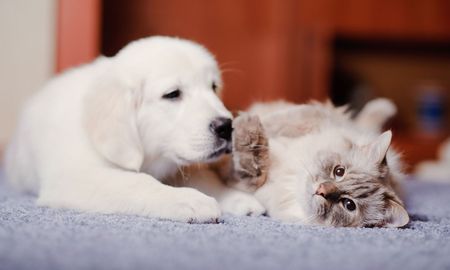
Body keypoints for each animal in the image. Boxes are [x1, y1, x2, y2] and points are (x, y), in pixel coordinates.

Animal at [4, 35, 264, 221]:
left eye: (213, 87)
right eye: (173, 94)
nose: (227, 127)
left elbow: (206, 180)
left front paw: (237, 198)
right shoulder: (74, 177)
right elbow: (138, 182)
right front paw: (188, 200)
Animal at [223, 98, 410, 227]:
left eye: (349, 205)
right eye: (339, 171)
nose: (321, 190)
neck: (291, 179)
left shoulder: (247, 182)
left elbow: (254, 166)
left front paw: (246, 131)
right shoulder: (317, 117)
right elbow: (285, 119)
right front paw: (245, 120)